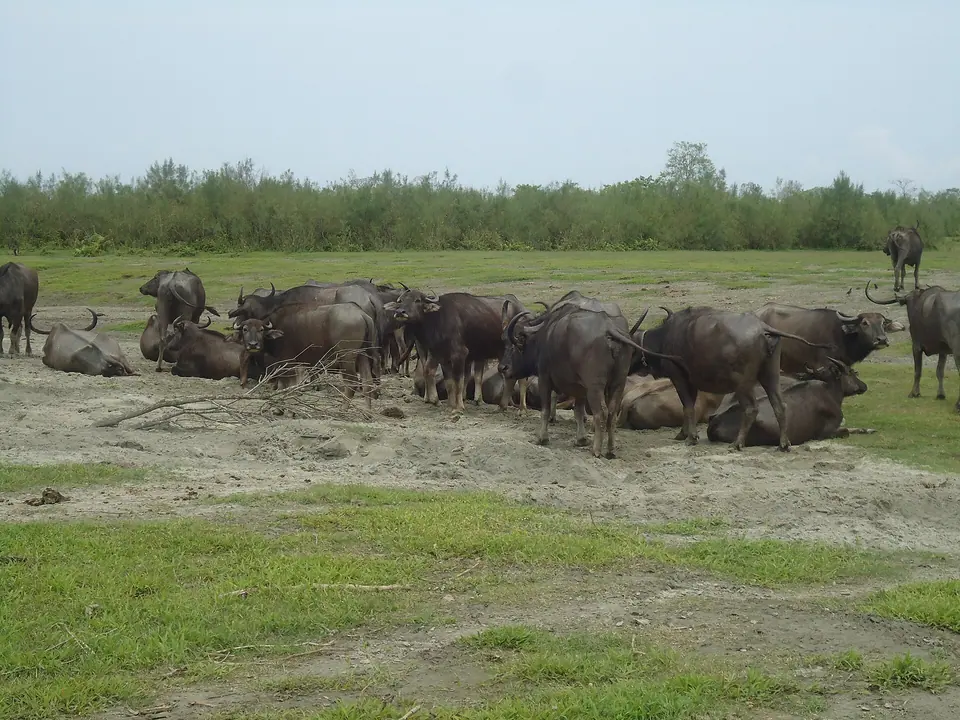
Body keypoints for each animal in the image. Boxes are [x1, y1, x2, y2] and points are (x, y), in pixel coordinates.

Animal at [631, 306, 831, 451]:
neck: (665, 337)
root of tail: (762, 328)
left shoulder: (679, 377)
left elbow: (687, 407)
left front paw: (690, 438)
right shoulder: (691, 382)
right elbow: (689, 407)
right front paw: (684, 434)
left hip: (742, 384)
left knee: (751, 409)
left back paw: (738, 443)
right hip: (771, 375)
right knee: (780, 405)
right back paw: (783, 444)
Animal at [707, 358, 868, 447]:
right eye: (851, 372)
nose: (864, 386)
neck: (830, 392)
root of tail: (715, 420)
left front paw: (866, 429)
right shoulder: (824, 432)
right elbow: (846, 431)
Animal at [866, 280, 960, 409]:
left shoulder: (916, 346)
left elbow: (917, 371)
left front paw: (914, 393)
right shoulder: (943, 350)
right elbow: (940, 371)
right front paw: (940, 395)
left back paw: (957, 405)